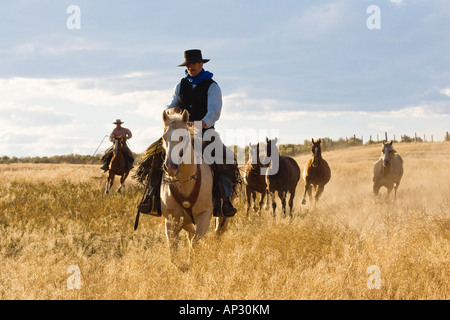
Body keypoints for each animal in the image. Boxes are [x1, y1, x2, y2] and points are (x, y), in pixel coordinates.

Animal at [160, 109, 227, 264]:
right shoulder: (171, 220)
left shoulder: (204, 215)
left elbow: (195, 242)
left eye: (183, 137)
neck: (185, 181)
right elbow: (174, 250)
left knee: (218, 232)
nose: (170, 167)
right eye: (163, 137)